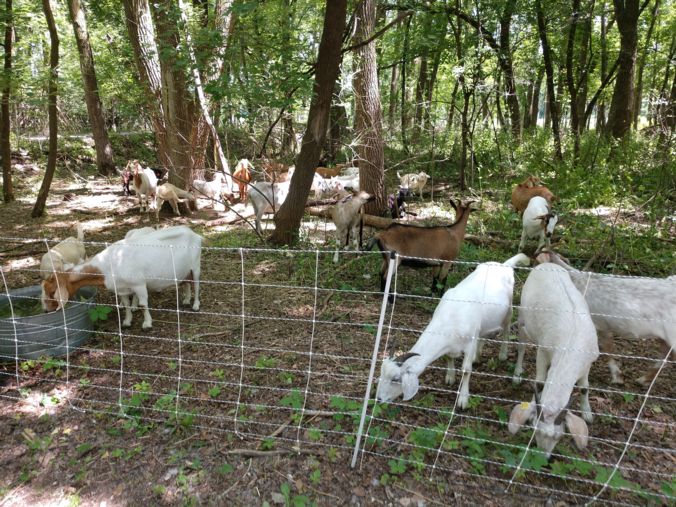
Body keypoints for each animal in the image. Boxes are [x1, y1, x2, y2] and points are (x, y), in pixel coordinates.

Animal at [40, 225, 201, 330]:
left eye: (52, 291)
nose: (46, 311)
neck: (109, 264)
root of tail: (194, 234)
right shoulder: (121, 289)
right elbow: (127, 305)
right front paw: (127, 322)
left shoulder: (139, 285)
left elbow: (143, 305)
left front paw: (147, 324)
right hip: (183, 270)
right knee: (186, 282)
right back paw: (186, 300)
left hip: (196, 266)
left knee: (197, 284)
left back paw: (195, 305)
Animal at [378, 254, 532, 408]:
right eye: (381, 373)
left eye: (396, 379)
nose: (378, 398)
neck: (449, 319)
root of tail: (505, 264)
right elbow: (449, 357)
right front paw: (450, 377)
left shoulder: (469, 342)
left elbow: (466, 370)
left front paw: (463, 399)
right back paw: (478, 355)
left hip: (509, 309)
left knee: (506, 328)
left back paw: (503, 354)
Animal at [508, 264, 596, 458]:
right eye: (534, 428)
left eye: (559, 436)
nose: (544, 458)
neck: (572, 343)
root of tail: (545, 264)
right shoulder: (543, 350)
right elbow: (540, 383)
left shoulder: (588, 361)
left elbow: (584, 387)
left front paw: (587, 413)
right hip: (523, 315)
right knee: (522, 345)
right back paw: (517, 374)